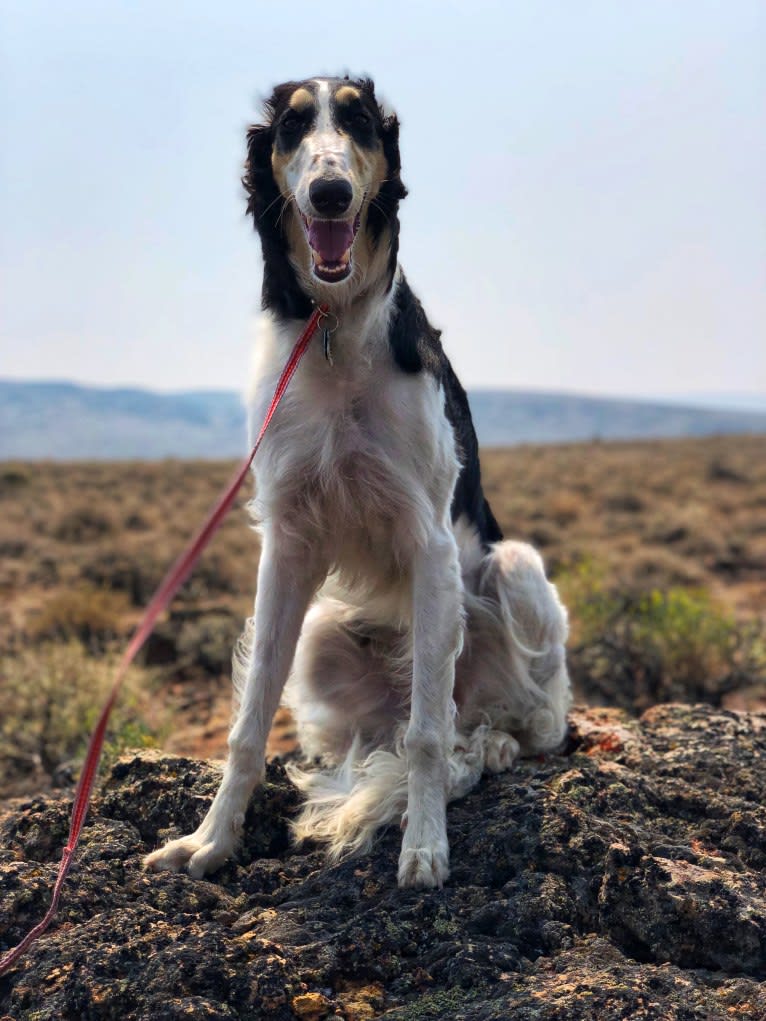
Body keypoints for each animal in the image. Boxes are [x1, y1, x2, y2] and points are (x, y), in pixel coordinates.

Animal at [144, 75, 571, 890]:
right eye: (291, 128)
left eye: (361, 122)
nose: (331, 192)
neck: (336, 331)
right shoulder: (286, 545)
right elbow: (248, 721)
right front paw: (211, 840)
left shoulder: (431, 542)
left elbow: (430, 736)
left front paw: (425, 847)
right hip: (323, 634)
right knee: (398, 731)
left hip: (513, 569)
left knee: (510, 718)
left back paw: (499, 743)